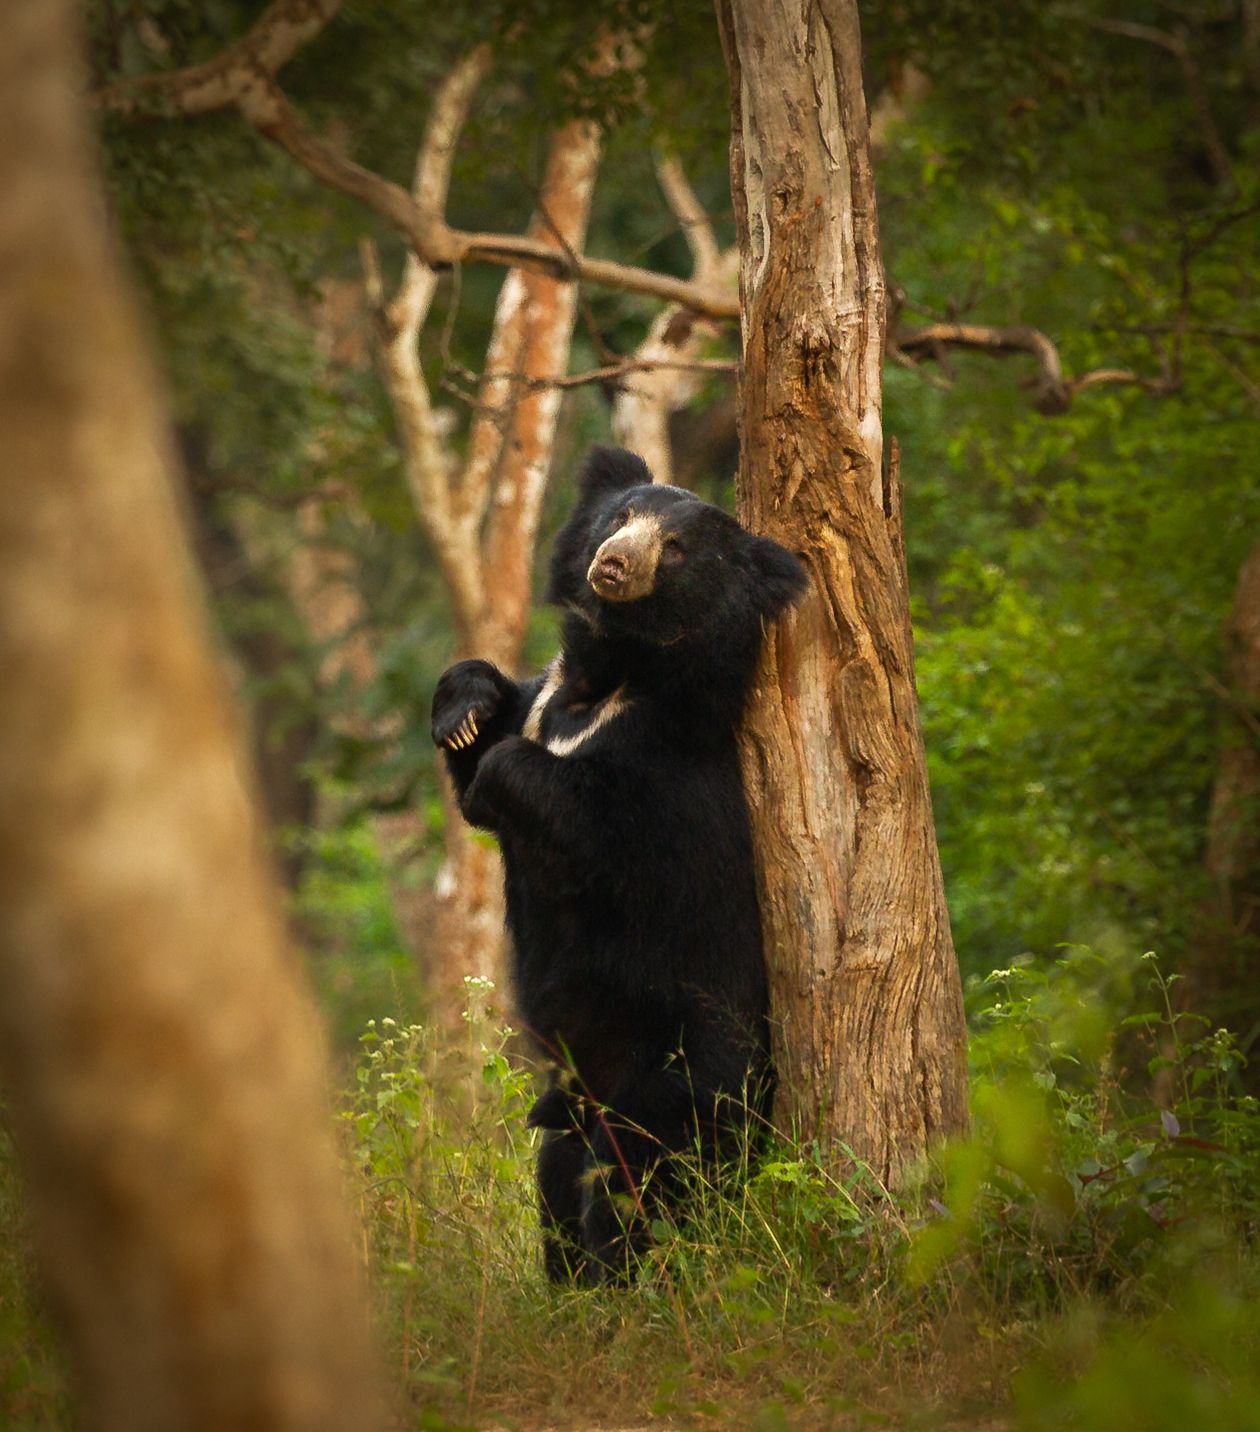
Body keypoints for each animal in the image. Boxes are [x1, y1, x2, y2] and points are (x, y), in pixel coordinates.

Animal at [430, 446, 807, 1283]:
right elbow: (481, 757)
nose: (613, 563)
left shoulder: (670, 770)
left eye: (677, 550)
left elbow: (599, 829)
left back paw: (626, 1286)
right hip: (575, 1097)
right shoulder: (549, 694)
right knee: (559, 1171)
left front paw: (503, 768)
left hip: (685, 1069)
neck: (610, 674)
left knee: (637, 1179)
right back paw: (571, 1290)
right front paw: (463, 709)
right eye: (621, 516)